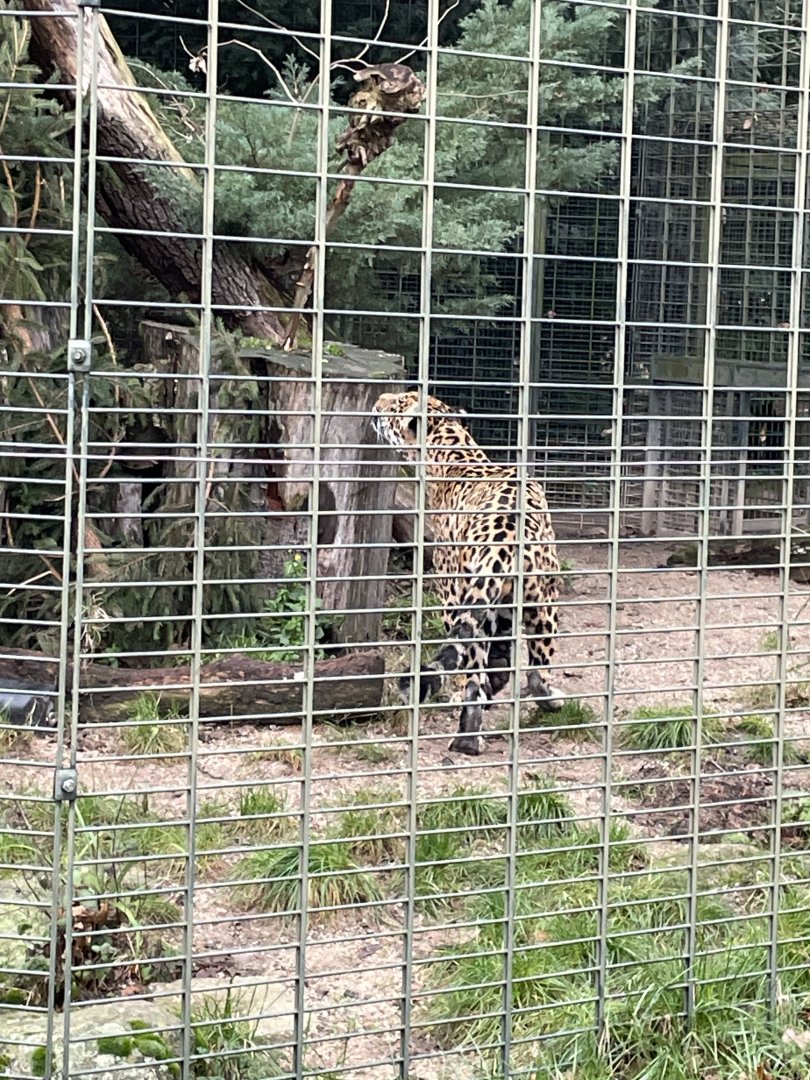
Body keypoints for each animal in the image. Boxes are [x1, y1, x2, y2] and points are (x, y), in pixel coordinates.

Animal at [372, 390, 563, 756]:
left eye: (396, 404)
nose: (377, 402)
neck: (455, 450)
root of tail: (505, 537)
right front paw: (497, 681)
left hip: (472, 597)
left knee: (478, 671)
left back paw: (470, 735)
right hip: (540, 597)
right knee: (535, 670)